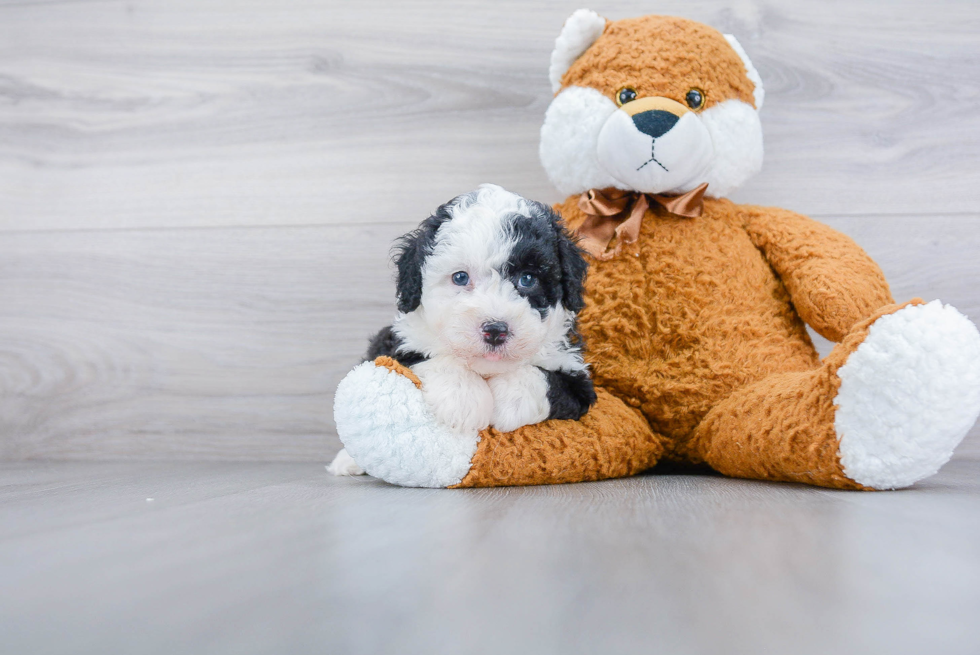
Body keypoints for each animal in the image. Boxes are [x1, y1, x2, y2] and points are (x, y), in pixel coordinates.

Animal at [328, 184, 596, 476]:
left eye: (528, 279)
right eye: (460, 277)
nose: (495, 330)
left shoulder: (578, 378)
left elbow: (545, 379)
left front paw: (509, 399)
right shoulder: (398, 343)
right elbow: (427, 359)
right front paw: (463, 398)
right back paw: (347, 461)